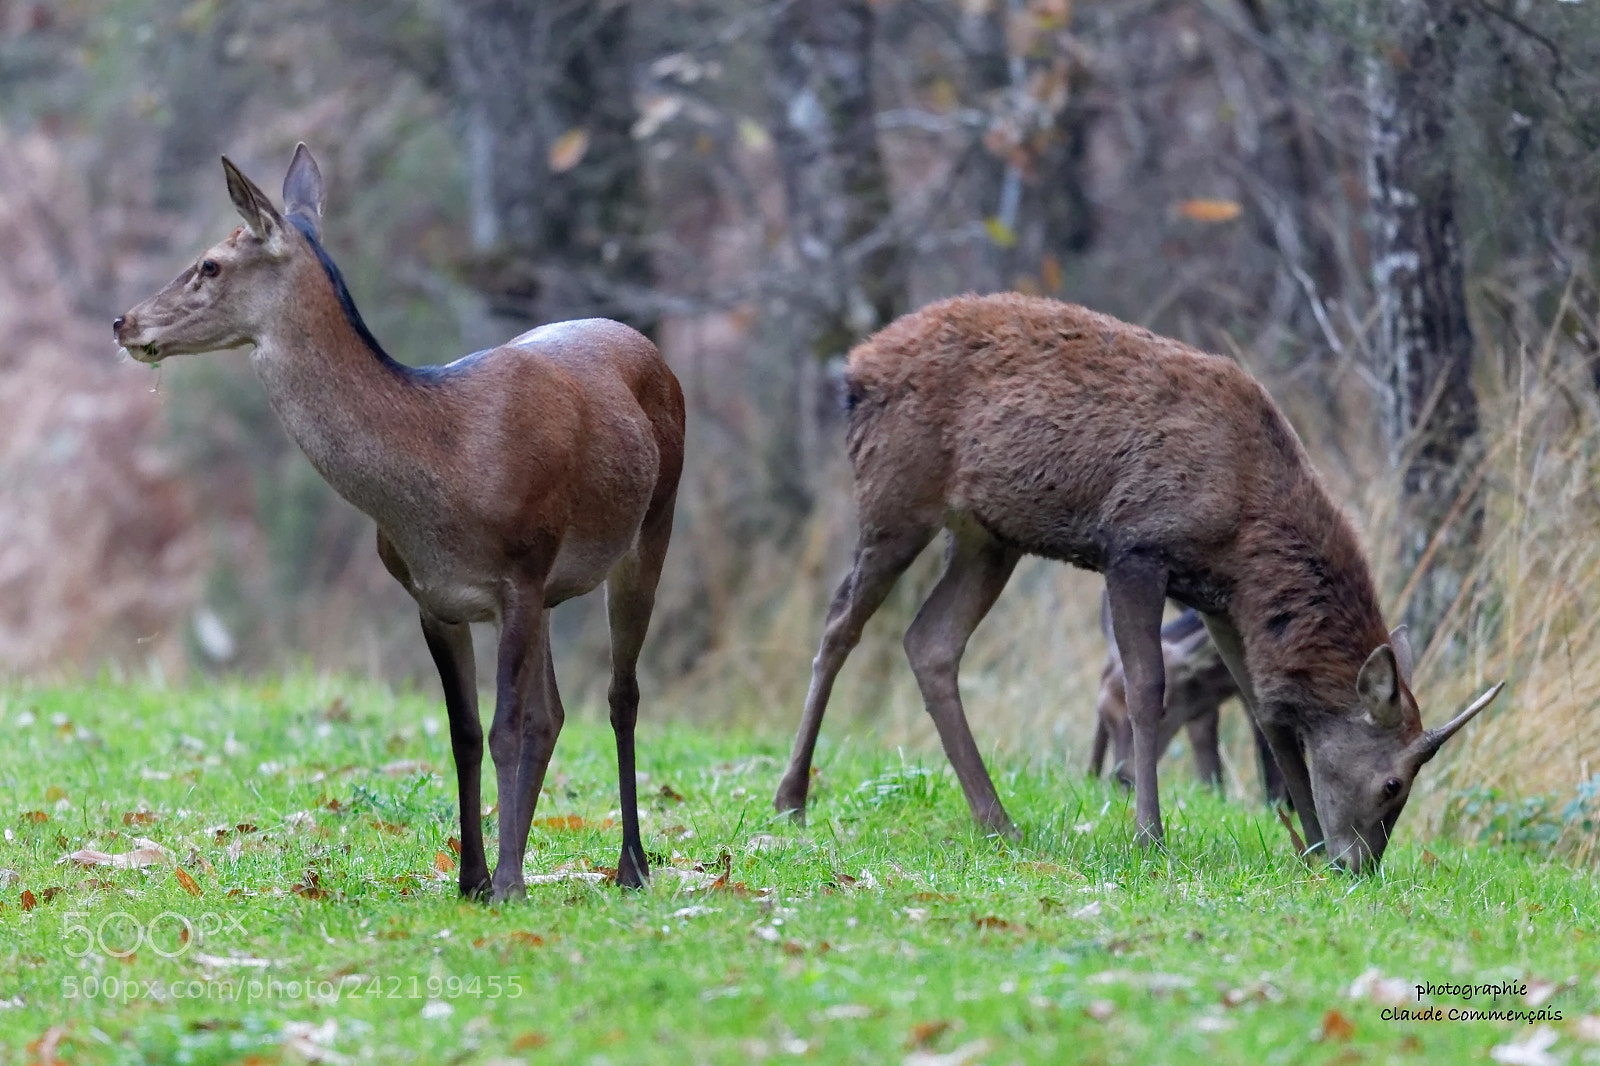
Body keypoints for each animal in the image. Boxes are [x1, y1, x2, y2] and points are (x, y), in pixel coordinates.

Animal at [113, 145, 685, 900]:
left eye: (210, 263)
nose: (123, 323)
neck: (440, 474)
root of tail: (652, 350)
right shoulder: (435, 596)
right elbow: (465, 732)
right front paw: (473, 879)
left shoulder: (519, 572)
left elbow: (505, 728)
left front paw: (506, 881)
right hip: (552, 592)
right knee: (556, 710)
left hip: (651, 526)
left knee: (621, 695)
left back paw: (632, 866)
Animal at [1089, 594, 1287, 805]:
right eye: (1104, 713)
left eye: (1163, 711)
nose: (1123, 780)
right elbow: (1203, 740)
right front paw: (1212, 796)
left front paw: (1278, 806)